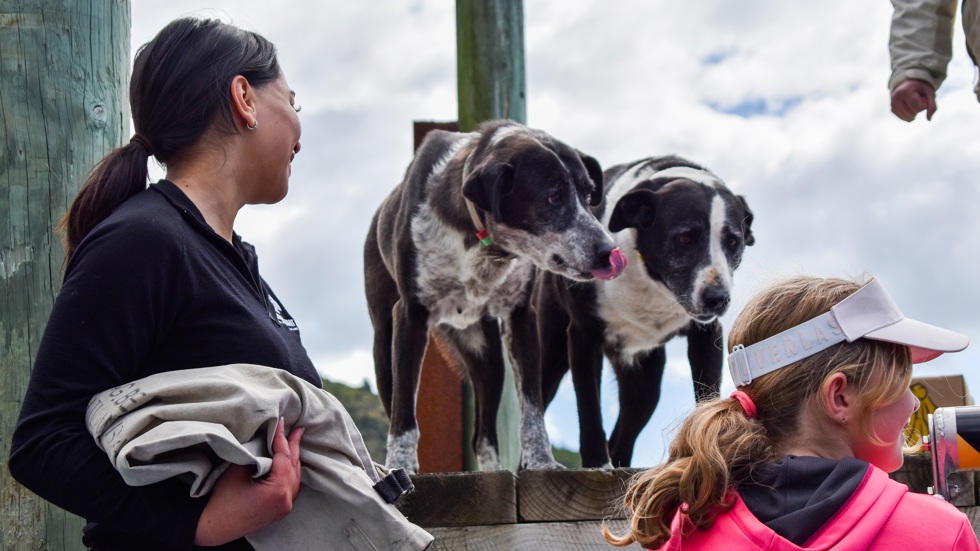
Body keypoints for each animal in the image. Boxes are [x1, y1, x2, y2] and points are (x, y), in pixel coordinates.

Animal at [362, 121, 628, 474]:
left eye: (587, 194)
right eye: (553, 196)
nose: (609, 252)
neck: (483, 244)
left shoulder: (520, 316)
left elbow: (532, 408)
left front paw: (542, 462)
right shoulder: (410, 314)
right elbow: (404, 413)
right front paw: (401, 467)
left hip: (487, 355)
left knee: (483, 434)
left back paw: (493, 470)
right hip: (384, 345)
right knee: (395, 399)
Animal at [536, 156, 752, 470]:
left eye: (733, 242)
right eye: (685, 238)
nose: (717, 298)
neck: (652, 280)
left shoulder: (707, 333)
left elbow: (707, 392)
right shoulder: (582, 334)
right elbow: (589, 408)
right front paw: (596, 463)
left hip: (646, 382)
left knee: (623, 436)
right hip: (552, 354)